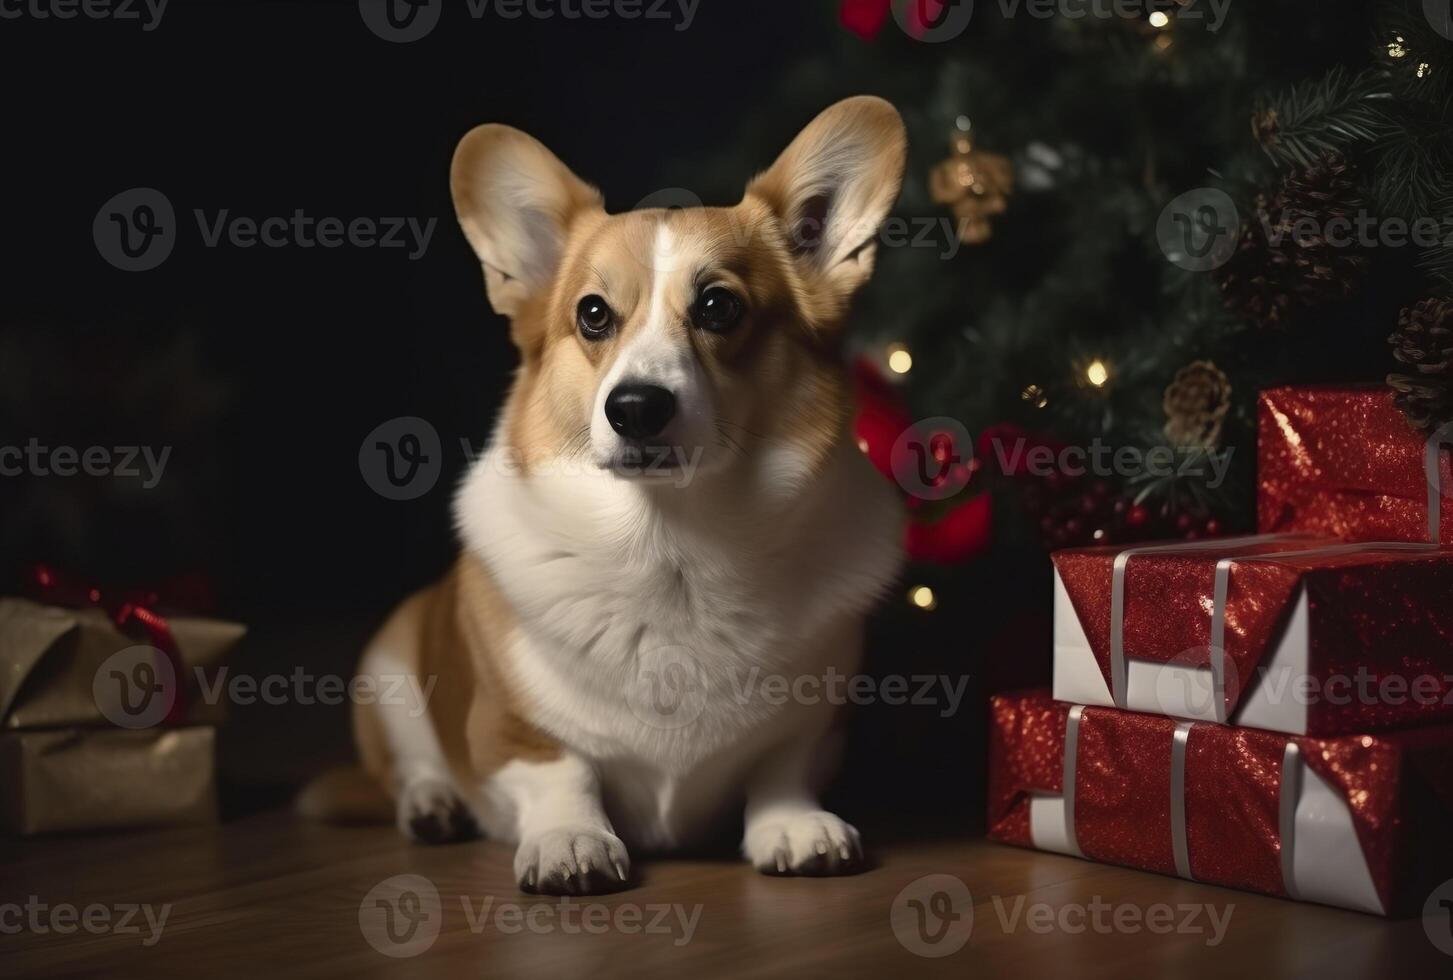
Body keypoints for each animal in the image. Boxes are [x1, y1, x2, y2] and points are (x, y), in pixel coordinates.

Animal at [306, 95, 906, 889]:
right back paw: (432, 805)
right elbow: (563, 771)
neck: (671, 546)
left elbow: (780, 768)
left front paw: (795, 824)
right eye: (593, 314)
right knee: (408, 768)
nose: (636, 408)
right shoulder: (509, 730)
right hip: (391, 669)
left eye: (717, 307)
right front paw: (570, 840)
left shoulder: (817, 723)